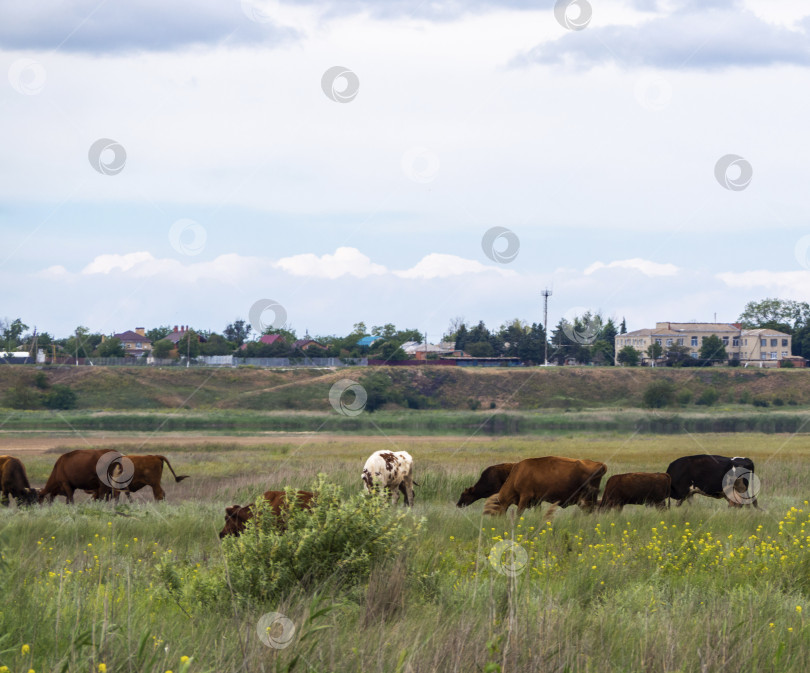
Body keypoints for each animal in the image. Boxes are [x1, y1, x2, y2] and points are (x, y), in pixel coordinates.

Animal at [480, 454, 608, 516]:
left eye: (494, 510)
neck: (517, 475)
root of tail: (600, 464)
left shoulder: (525, 496)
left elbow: (519, 513)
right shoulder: (537, 500)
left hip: (587, 499)